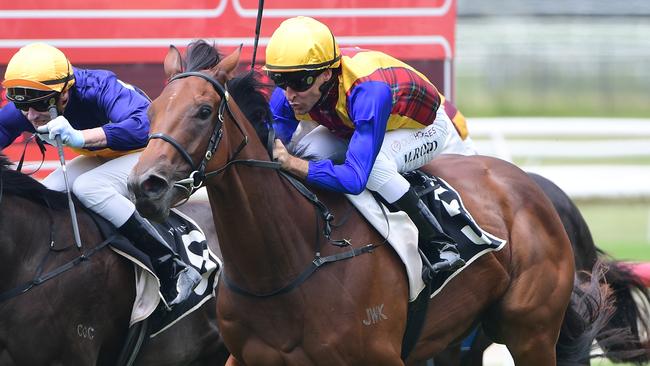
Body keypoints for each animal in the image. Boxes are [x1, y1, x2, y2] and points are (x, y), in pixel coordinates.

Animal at [128, 41, 616, 364]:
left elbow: (365, 168)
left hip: (530, 330)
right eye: (149, 111)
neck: (289, 262)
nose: (144, 184)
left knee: (380, 167)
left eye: (202, 112)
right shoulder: (244, 357)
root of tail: (528, 185)